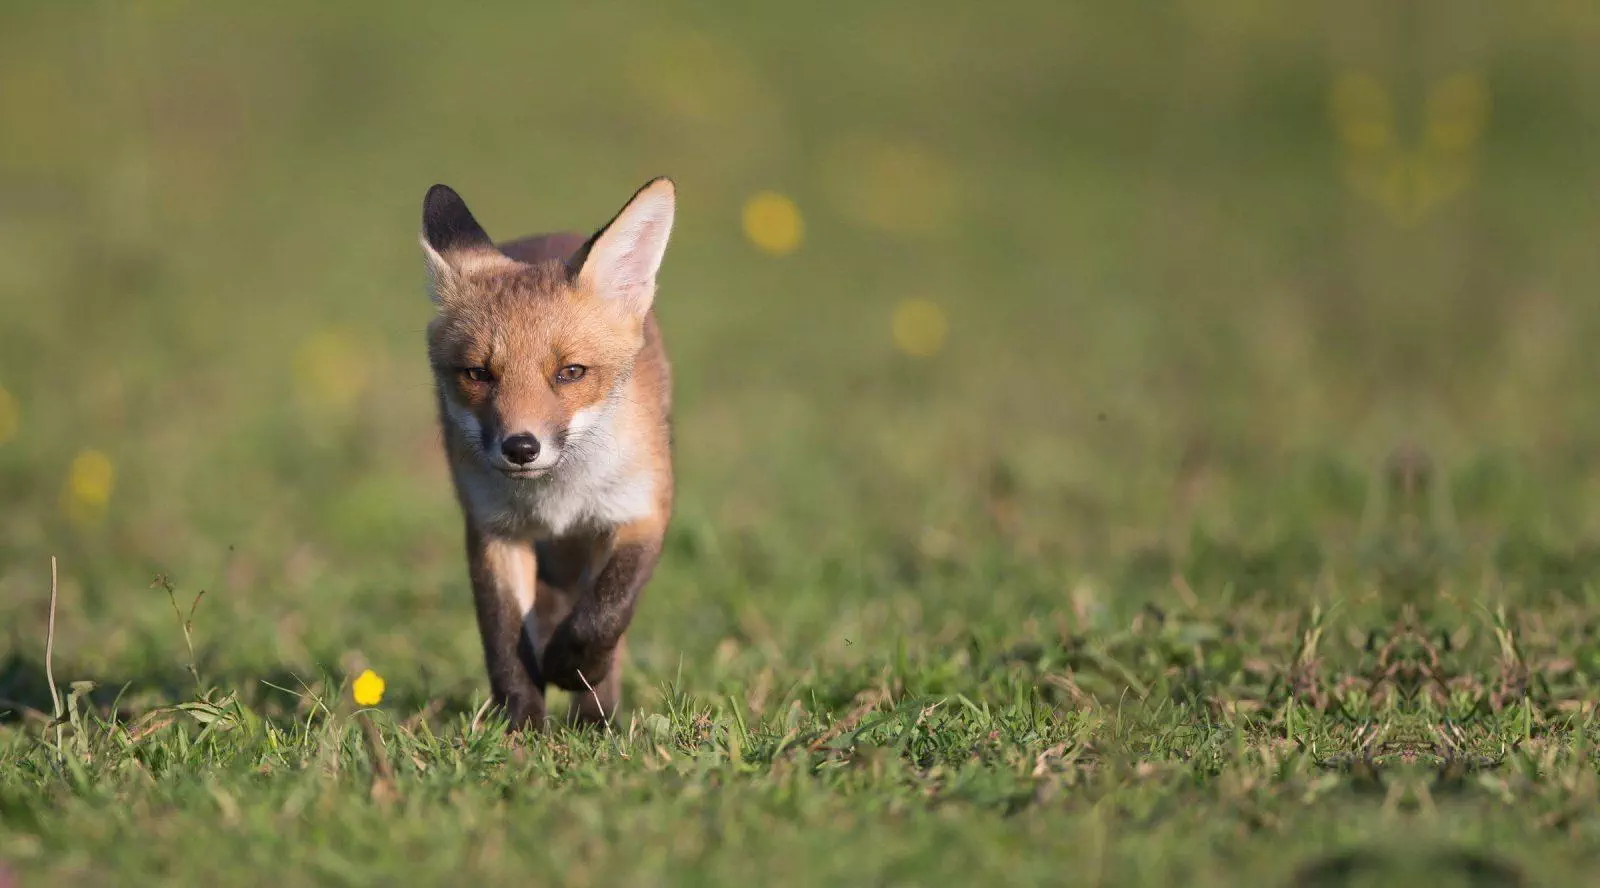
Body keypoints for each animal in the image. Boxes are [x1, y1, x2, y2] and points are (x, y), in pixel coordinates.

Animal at [419, 177, 676, 730]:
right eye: (478, 373)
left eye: (570, 372)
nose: (520, 447)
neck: (558, 498)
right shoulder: (493, 530)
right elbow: (504, 642)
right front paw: (521, 728)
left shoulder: (640, 512)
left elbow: (603, 615)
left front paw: (573, 670)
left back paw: (597, 716)